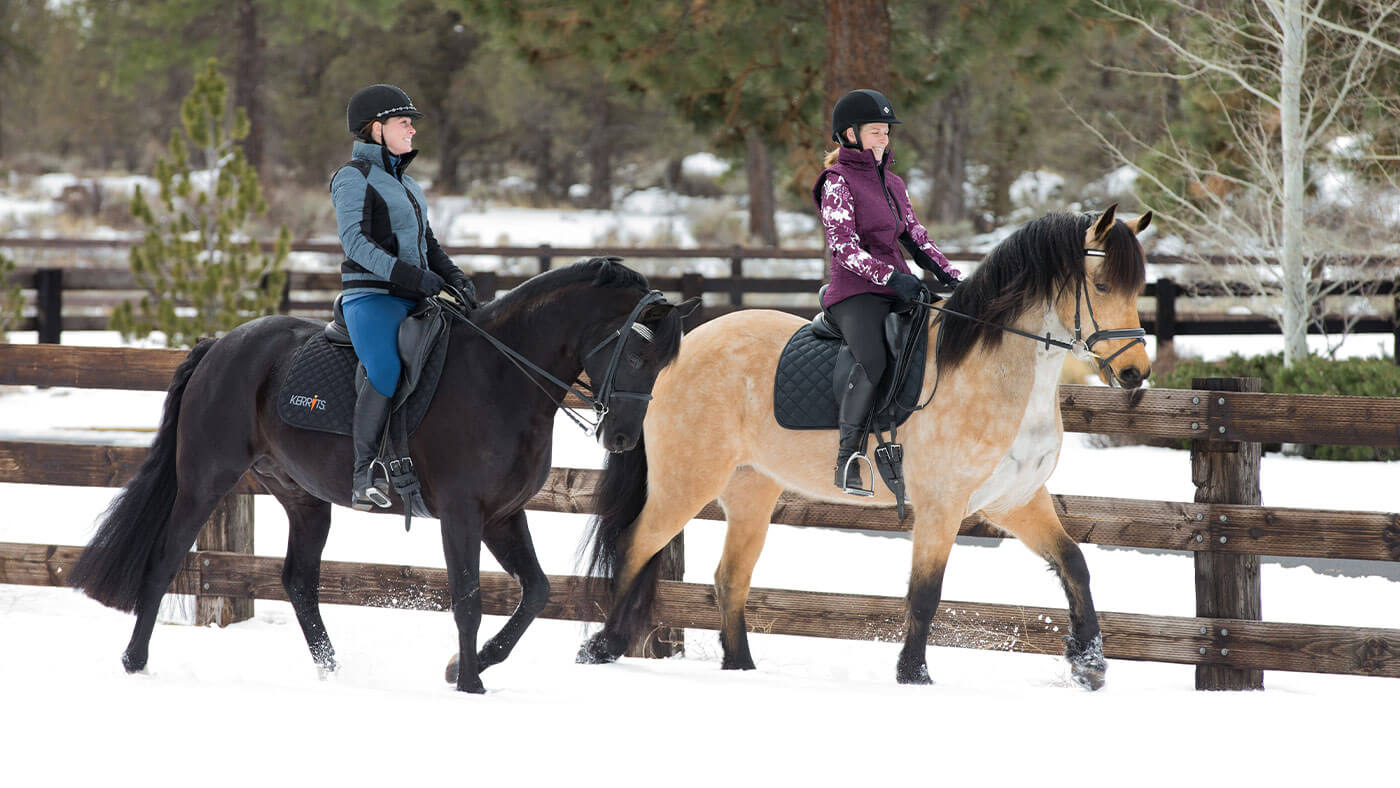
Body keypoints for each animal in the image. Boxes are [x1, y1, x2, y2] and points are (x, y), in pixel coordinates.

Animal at [68, 257, 691, 691]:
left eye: (664, 366)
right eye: (636, 355)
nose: (622, 439)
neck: (502, 377)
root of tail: (221, 344)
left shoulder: (502, 515)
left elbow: (535, 592)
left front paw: (463, 668)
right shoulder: (462, 514)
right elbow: (468, 599)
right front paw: (470, 685)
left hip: (303, 498)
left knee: (299, 581)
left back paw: (334, 673)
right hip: (206, 480)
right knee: (165, 559)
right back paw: (135, 662)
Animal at [574, 207, 1153, 688]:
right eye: (1102, 284)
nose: (1134, 373)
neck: (995, 371)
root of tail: (683, 350)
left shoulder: (1015, 501)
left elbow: (1074, 563)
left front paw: (1090, 664)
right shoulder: (943, 506)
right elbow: (925, 593)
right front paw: (914, 675)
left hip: (750, 489)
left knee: (729, 578)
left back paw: (740, 669)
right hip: (686, 481)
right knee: (635, 547)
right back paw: (602, 648)